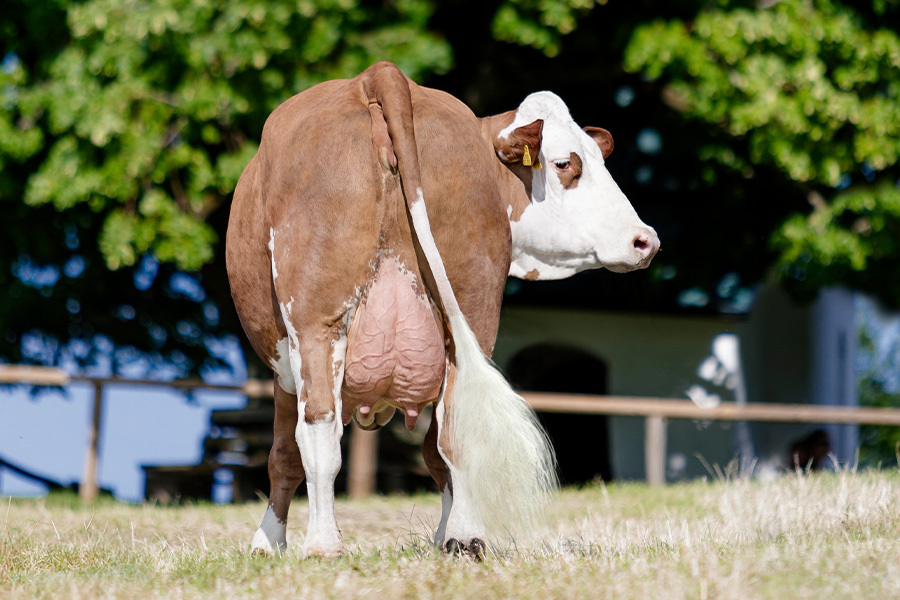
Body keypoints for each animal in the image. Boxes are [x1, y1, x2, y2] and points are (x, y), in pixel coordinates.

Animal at [225, 61, 659, 559]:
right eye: (565, 163)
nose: (645, 239)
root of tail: (381, 75)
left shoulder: (286, 364)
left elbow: (284, 456)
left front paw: (267, 541)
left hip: (317, 322)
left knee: (318, 433)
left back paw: (322, 544)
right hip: (471, 310)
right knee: (453, 431)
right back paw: (466, 536)